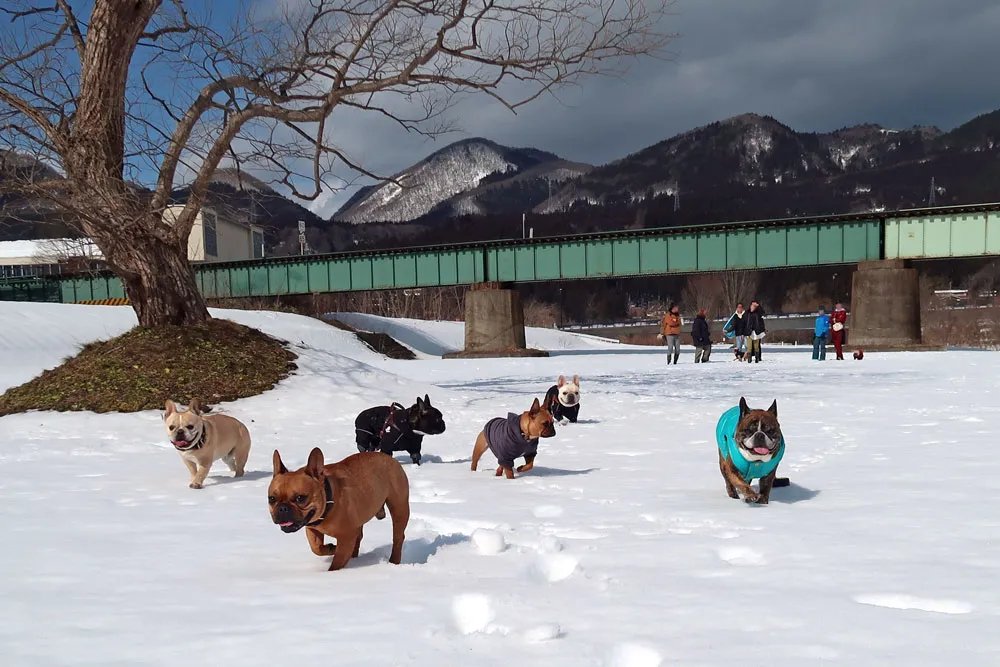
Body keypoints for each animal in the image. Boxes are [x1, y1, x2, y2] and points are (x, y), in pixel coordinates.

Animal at [268, 446, 408, 572]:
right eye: (272, 499)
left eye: (300, 498)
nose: (282, 508)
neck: (328, 502)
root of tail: (389, 458)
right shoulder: (312, 528)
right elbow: (316, 548)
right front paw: (331, 548)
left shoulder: (346, 537)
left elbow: (337, 563)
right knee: (358, 538)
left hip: (399, 508)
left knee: (398, 537)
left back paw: (394, 561)